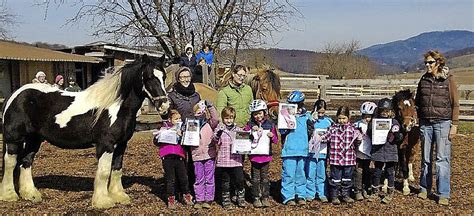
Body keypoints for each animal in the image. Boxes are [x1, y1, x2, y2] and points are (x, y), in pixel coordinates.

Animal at [0, 54, 170, 208]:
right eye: (148, 77)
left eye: (164, 76)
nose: (164, 106)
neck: (116, 106)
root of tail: (14, 96)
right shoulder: (106, 144)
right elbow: (104, 171)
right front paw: (103, 202)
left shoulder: (121, 144)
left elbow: (116, 168)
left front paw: (119, 196)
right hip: (14, 139)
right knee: (10, 162)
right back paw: (9, 195)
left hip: (34, 139)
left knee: (26, 161)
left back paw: (30, 194)